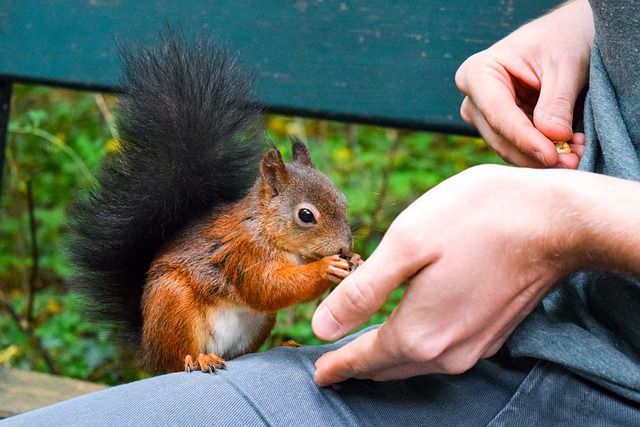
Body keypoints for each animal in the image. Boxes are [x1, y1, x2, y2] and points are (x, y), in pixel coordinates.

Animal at [69, 32, 362, 374]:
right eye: (305, 215)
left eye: (342, 199)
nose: (344, 246)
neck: (269, 232)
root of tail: (149, 348)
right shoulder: (243, 254)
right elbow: (269, 288)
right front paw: (326, 267)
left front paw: (356, 260)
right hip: (174, 303)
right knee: (178, 359)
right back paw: (198, 359)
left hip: (257, 325)